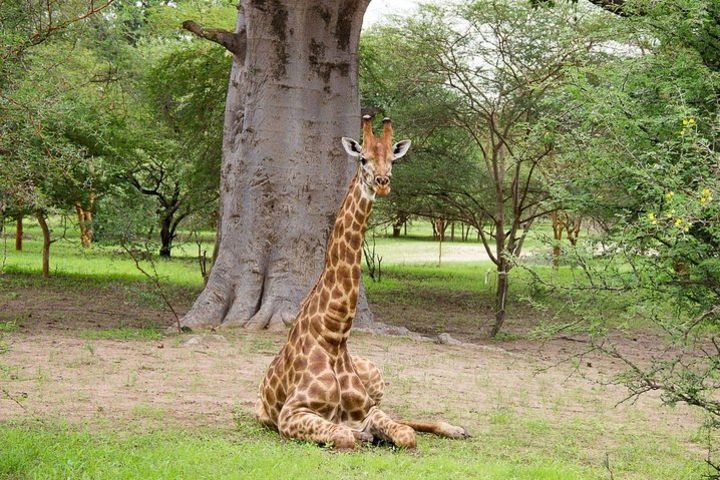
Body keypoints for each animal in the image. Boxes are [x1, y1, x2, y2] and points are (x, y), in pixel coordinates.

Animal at [255, 116, 472, 450]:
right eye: (363, 158)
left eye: (393, 160)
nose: (382, 182)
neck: (333, 336)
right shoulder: (291, 414)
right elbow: (345, 435)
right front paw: (362, 435)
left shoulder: (367, 410)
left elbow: (406, 434)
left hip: (377, 379)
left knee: (403, 417)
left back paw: (455, 428)